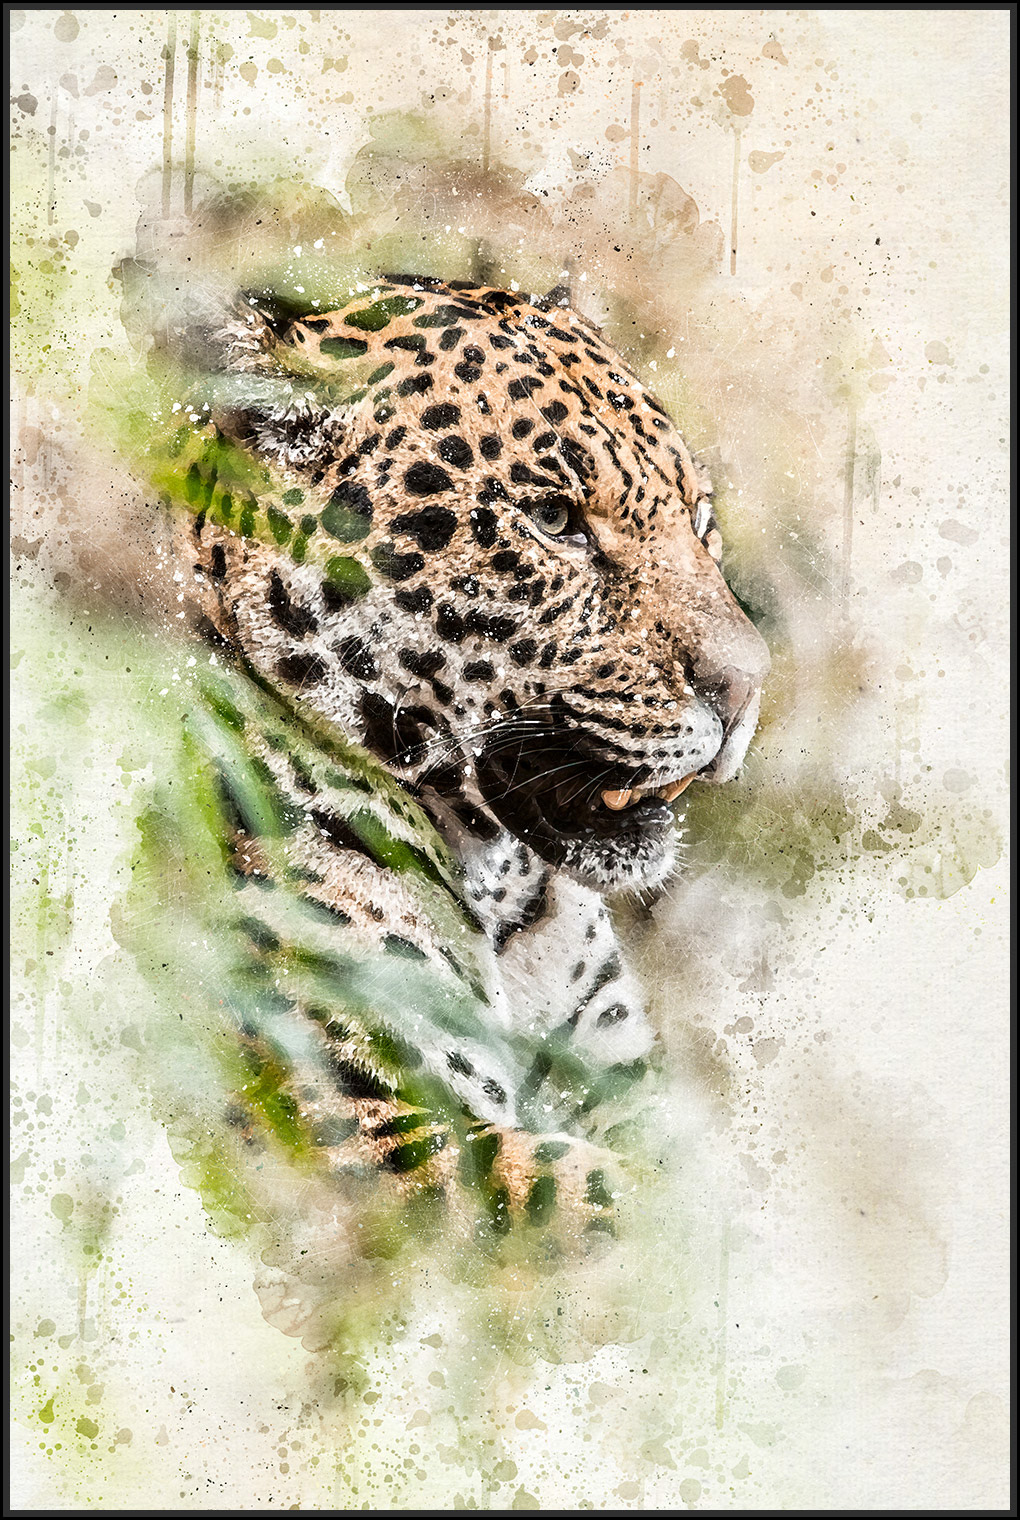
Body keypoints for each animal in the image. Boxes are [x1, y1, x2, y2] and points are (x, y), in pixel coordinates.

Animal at [142, 271, 770, 1253]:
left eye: (700, 521)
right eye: (554, 520)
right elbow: (616, 1205)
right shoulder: (379, 1144)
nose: (750, 686)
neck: (512, 904)